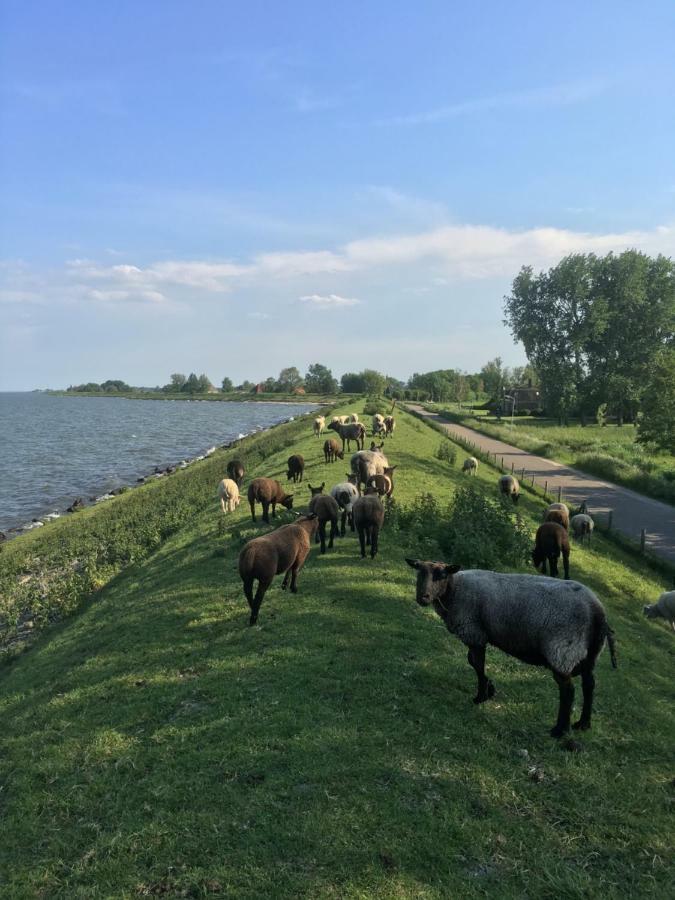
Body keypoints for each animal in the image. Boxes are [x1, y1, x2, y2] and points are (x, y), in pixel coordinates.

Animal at [404, 564, 620, 740]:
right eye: (419, 573)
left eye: (441, 575)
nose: (422, 598)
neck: (455, 588)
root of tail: (598, 613)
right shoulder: (478, 634)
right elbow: (472, 662)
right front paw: (490, 689)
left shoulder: (475, 632)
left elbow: (477, 664)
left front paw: (481, 696)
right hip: (589, 654)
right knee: (589, 685)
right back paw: (583, 724)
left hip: (562, 651)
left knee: (568, 691)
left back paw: (560, 731)